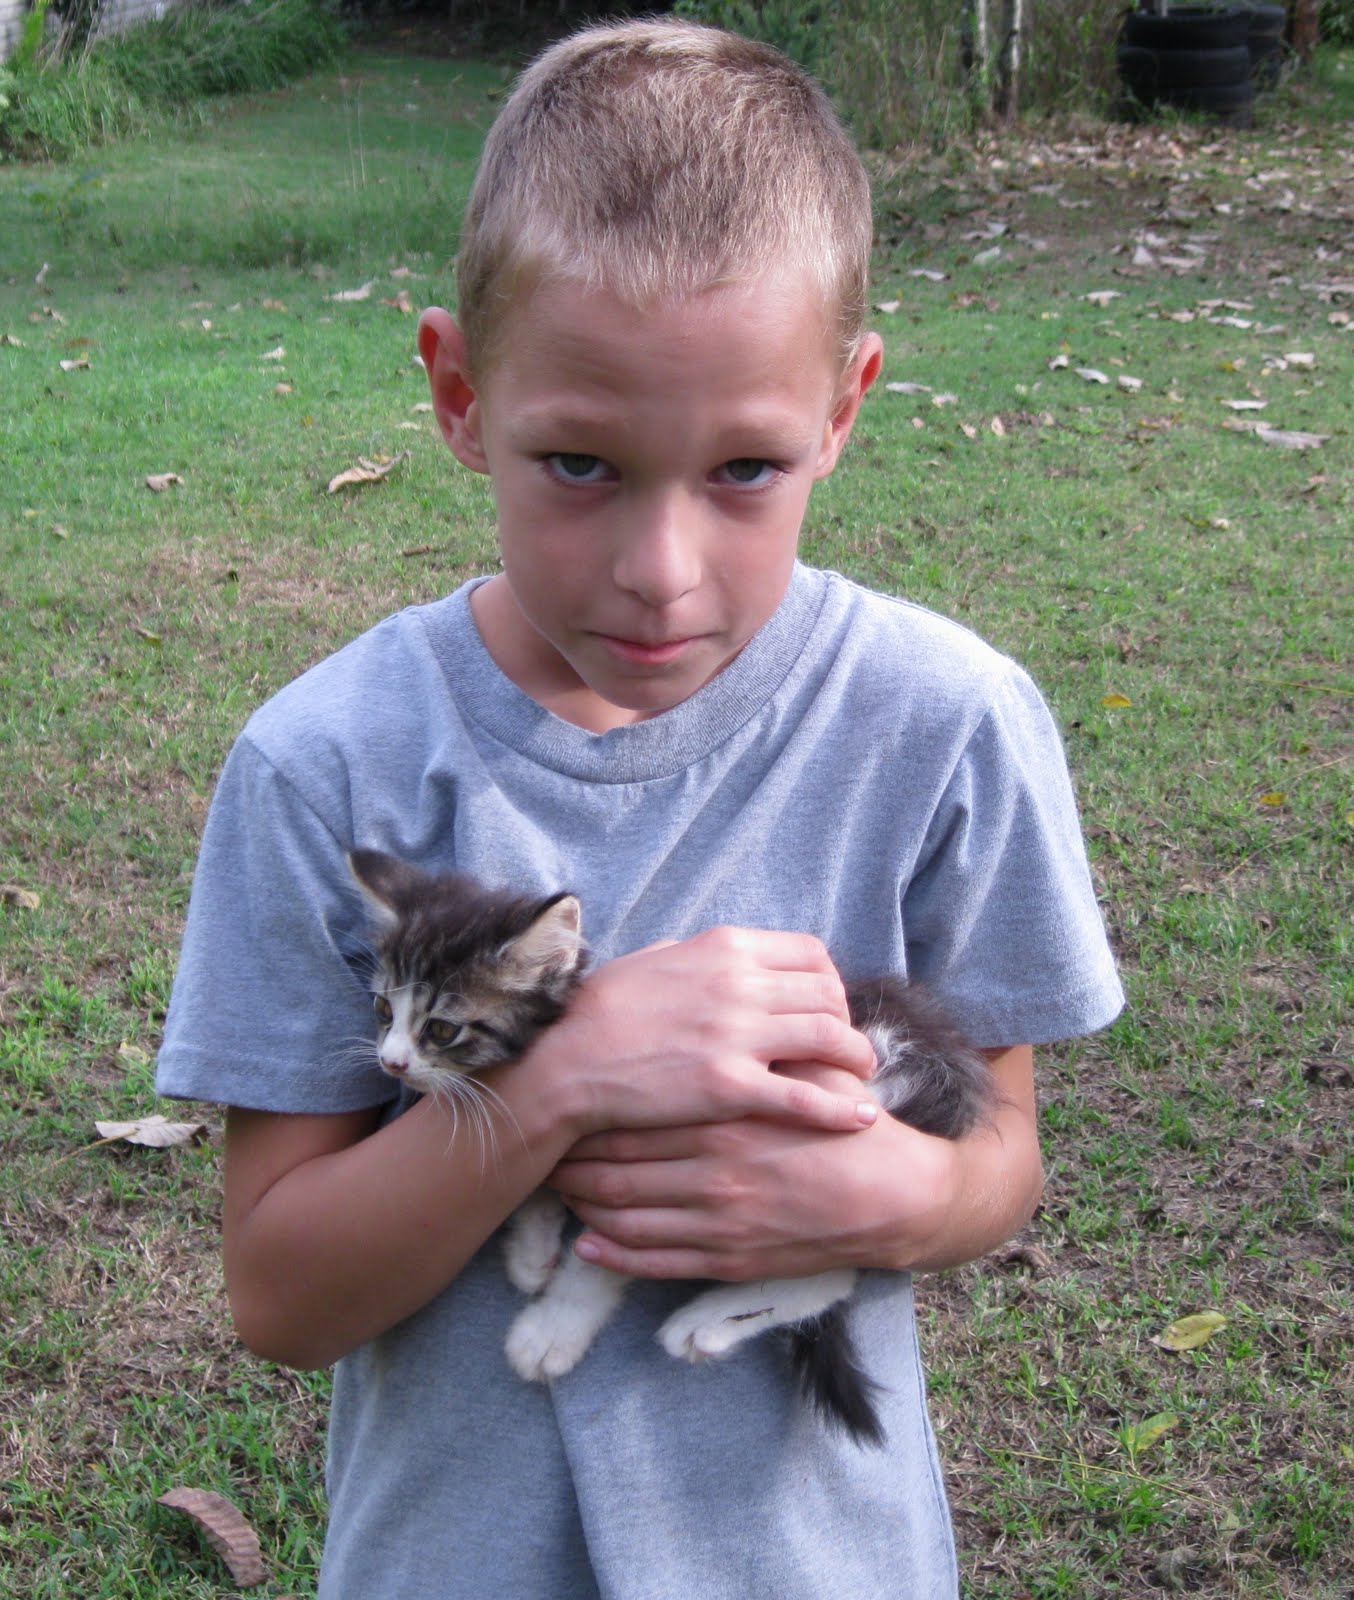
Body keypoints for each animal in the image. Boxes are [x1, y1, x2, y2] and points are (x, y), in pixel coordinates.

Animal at [349, 847, 996, 1447]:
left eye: (441, 1029)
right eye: (382, 1009)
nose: (391, 1061)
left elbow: (597, 1259)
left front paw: (552, 1329)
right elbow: (536, 1177)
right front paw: (532, 1251)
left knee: (832, 1269)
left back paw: (703, 1321)